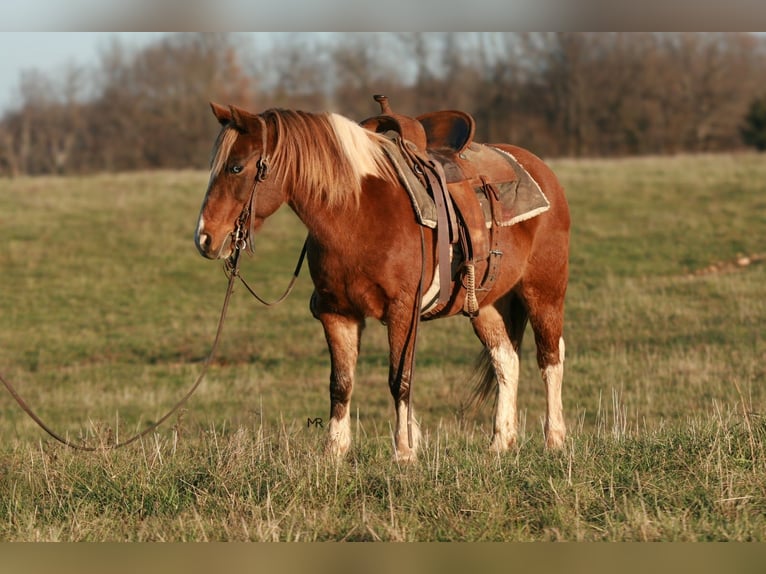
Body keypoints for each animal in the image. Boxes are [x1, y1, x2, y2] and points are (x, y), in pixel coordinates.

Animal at [194, 101, 570, 461]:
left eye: (236, 167)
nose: (204, 238)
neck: (357, 212)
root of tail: (543, 172)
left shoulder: (402, 311)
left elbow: (399, 380)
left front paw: (404, 451)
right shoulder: (336, 313)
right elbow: (341, 383)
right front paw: (334, 451)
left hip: (544, 291)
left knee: (550, 357)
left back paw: (555, 440)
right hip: (484, 303)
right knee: (505, 359)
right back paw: (500, 443)